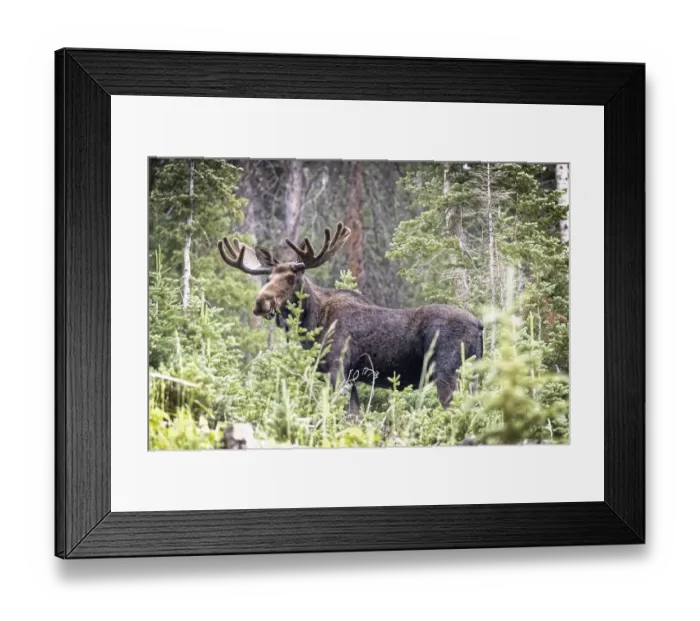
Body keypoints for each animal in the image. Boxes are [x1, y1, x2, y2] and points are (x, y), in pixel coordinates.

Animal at [218, 222, 484, 416]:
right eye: (269, 277)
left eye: (291, 278)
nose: (260, 302)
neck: (312, 324)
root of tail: (480, 325)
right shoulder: (350, 377)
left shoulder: (338, 368)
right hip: (471, 375)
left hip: (449, 372)